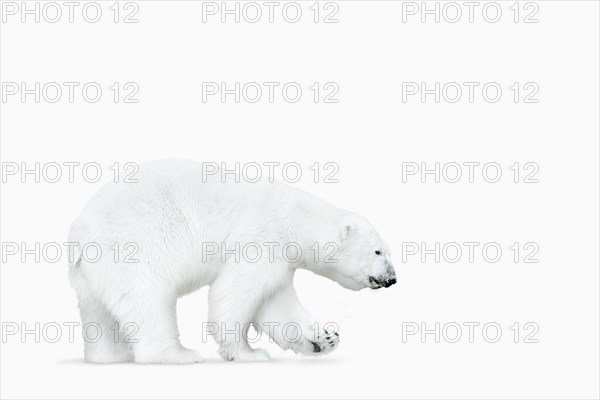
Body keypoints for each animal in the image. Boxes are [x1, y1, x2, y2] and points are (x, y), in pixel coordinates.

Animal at [68, 159, 396, 362]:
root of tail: (80, 230)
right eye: (379, 251)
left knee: (98, 311)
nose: (392, 278)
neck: (295, 218)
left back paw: (109, 357)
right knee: (146, 301)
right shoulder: (260, 239)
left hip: (91, 274)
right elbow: (234, 295)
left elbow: (277, 305)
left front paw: (323, 338)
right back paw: (177, 354)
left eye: (387, 251)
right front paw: (249, 353)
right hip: (134, 248)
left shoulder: (281, 262)